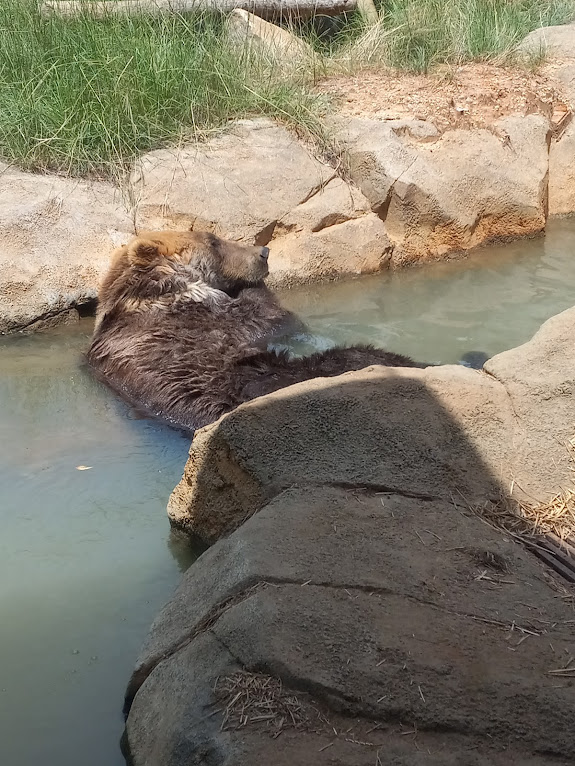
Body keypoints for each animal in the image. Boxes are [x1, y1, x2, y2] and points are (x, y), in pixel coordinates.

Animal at [87, 230, 426, 433]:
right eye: (213, 241)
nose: (263, 252)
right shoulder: (200, 320)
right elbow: (267, 316)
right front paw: (254, 286)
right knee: (355, 355)